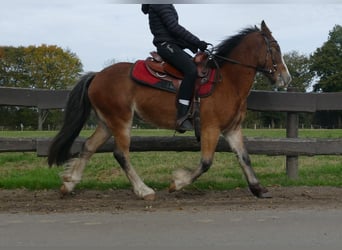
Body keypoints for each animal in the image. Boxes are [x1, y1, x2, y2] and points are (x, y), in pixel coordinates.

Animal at [47, 21, 292, 201]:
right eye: (276, 48)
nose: (286, 78)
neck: (227, 81)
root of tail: (97, 75)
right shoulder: (211, 128)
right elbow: (206, 163)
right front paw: (177, 183)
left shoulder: (232, 129)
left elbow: (245, 158)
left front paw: (258, 189)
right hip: (121, 121)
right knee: (121, 154)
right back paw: (144, 190)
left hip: (107, 122)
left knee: (88, 147)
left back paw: (69, 184)